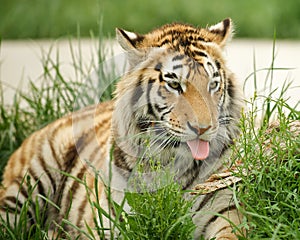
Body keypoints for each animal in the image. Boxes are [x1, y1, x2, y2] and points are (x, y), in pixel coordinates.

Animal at [0, 18, 244, 240]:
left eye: (212, 84)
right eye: (174, 84)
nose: (203, 128)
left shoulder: (224, 211)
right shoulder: (118, 220)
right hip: (26, 185)